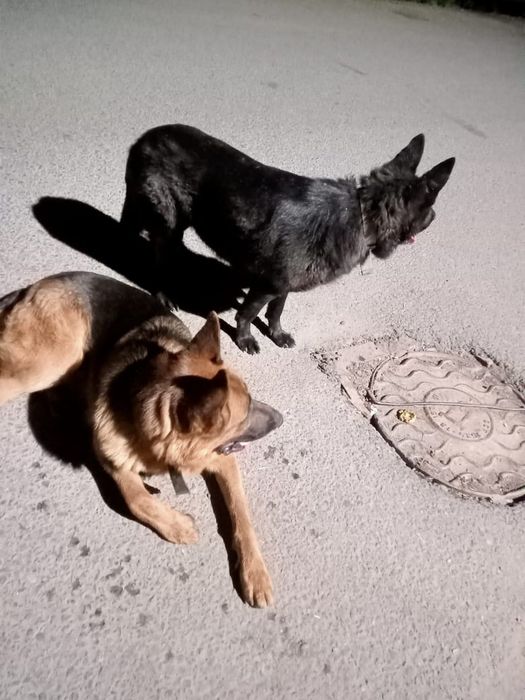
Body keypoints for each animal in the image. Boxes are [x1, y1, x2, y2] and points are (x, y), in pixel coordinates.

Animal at [0, 271, 282, 606]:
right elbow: (136, 498)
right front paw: (178, 526)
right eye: (245, 412)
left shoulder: (223, 462)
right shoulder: (110, 454)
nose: (282, 418)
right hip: (49, 361)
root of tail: (36, 285)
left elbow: (242, 516)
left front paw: (256, 573)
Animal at [121, 125, 455, 353]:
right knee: (158, 258)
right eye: (430, 210)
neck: (362, 214)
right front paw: (245, 338)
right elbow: (247, 312)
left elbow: (276, 311)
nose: (436, 218)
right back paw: (164, 293)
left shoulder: (281, 286)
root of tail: (145, 138)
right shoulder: (267, 284)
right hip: (168, 224)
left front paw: (276, 334)